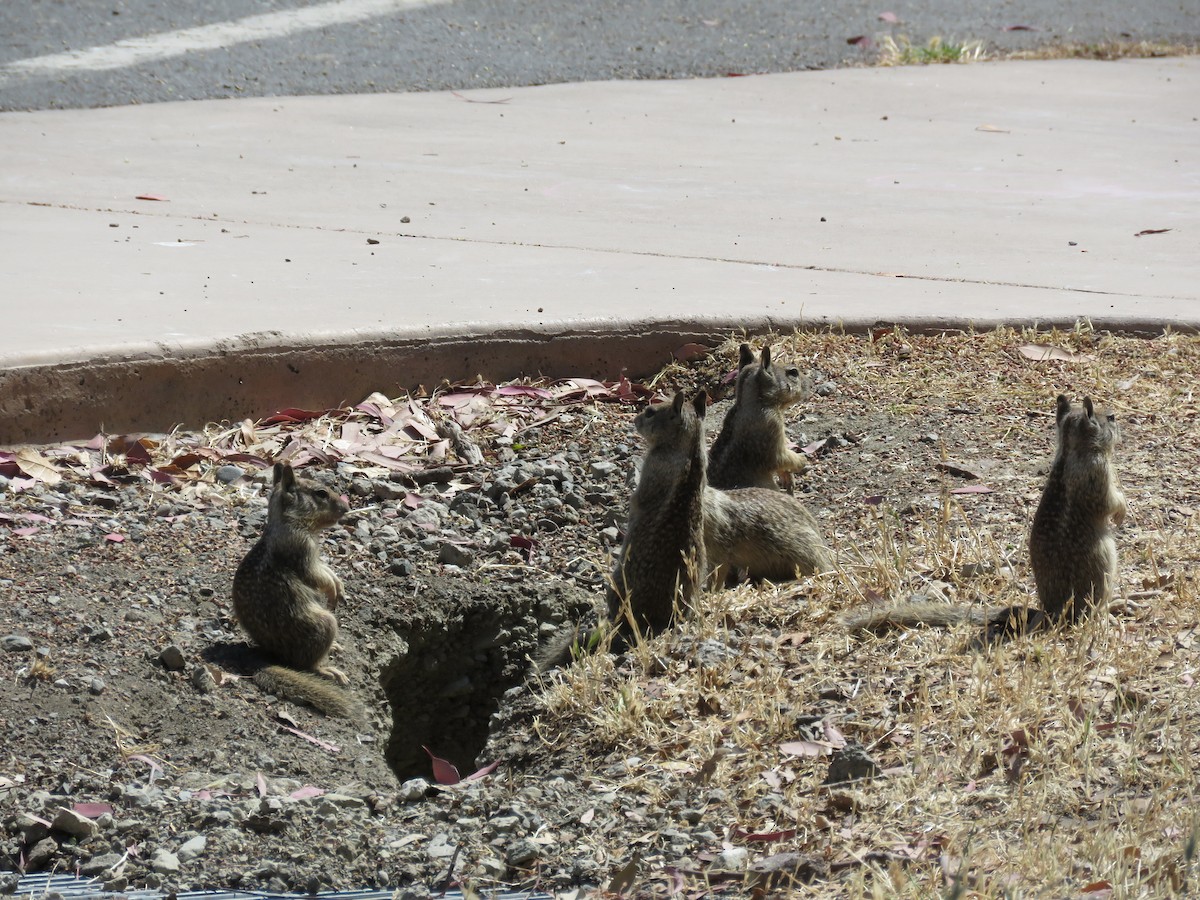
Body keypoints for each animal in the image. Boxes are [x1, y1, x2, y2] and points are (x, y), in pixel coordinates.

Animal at [232, 462, 364, 720]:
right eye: (321, 493)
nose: (346, 507)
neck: (288, 522)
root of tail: (268, 656)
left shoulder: (315, 555)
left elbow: (326, 569)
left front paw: (340, 585)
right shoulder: (302, 551)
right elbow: (317, 576)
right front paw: (333, 590)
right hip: (323, 624)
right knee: (308, 665)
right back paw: (330, 670)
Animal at [537, 391, 708, 670]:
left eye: (650, 412)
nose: (635, 419)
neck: (689, 448)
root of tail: (649, 619)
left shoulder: (651, 467)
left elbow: (637, 500)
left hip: (616, 583)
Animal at [708, 343, 811, 491]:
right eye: (793, 372)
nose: (810, 383)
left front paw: (788, 477)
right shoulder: (772, 426)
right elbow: (781, 457)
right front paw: (802, 460)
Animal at [841, 395, 1126, 643]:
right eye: (1111, 418)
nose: (1119, 421)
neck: (1072, 448)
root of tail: (1049, 610)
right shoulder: (1099, 475)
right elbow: (1112, 502)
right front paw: (1122, 512)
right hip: (1105, 563)